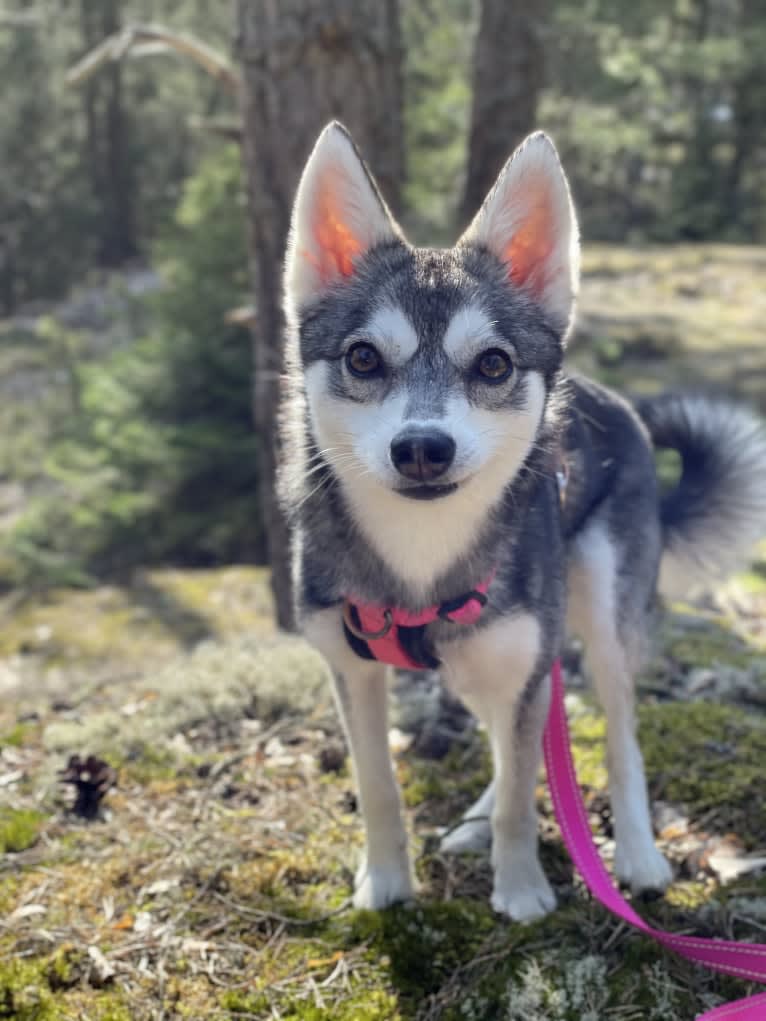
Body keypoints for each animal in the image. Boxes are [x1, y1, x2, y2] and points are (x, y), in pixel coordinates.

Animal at [279, 123, 766, 922]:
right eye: (363, 357)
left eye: (493, 365)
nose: (422, 448)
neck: (421, 562)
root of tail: (616, 402)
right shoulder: (351, 670)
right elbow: (381, 786)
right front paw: (386, 883)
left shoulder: (527, 663)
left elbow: (520, 792)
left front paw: (521, 888)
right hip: (491, 659)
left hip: (599, 619)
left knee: (618, 739)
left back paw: (637, 854)